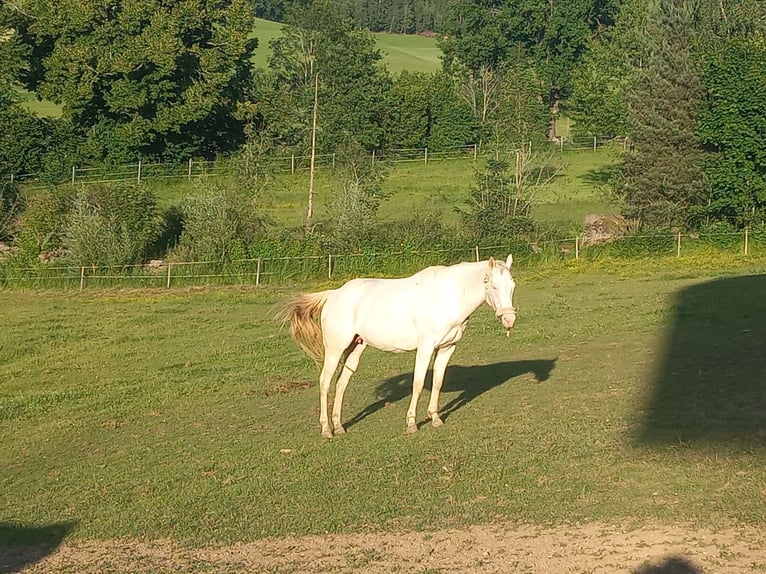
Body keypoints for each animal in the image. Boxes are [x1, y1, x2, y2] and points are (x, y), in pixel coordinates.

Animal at [279, 254, 517, 437]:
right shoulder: (426, 347)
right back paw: (326, 429)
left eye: (512, 286)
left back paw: (338, 426)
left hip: (355, 349)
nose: (509, 319)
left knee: (341, 384)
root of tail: (334, 294)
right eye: (494, 286)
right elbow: (418, 383)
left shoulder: (447, 348)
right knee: (325, 383)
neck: (447, 296)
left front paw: (435, 418)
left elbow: (438, 382)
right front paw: (412, 423)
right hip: (335, 350)